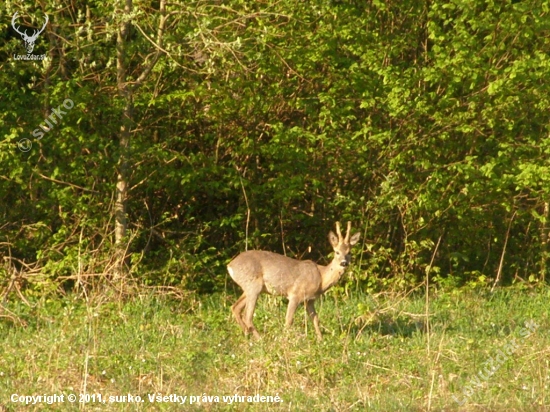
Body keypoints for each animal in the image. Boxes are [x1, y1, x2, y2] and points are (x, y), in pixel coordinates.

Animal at [229, 220, 362, 340]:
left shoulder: (309, 300)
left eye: (349, 252)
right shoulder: (295, 294)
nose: (344, 263)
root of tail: (230, 266)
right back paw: (260, 339)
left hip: (250, 288)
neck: (321, 278)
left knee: (235, 308)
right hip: (253, 286)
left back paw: (247, 335)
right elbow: (288, 320)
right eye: (336, 252)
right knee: (247, 315)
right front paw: (285, 340)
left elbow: (315, 319)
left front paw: (321, 340)